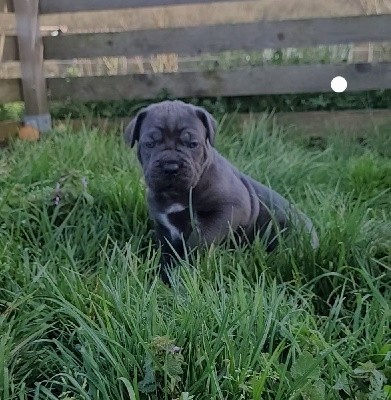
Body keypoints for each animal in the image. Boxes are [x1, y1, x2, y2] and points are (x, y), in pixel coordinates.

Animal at [125, 99, 318, 282]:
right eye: (149, 144)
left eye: (193, 144)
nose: (170, 167)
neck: (177, 195)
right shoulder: (164, 225)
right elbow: (166, 252)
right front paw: (164, 276)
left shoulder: (228, 209)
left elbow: (200, 240)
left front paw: (188, 268)